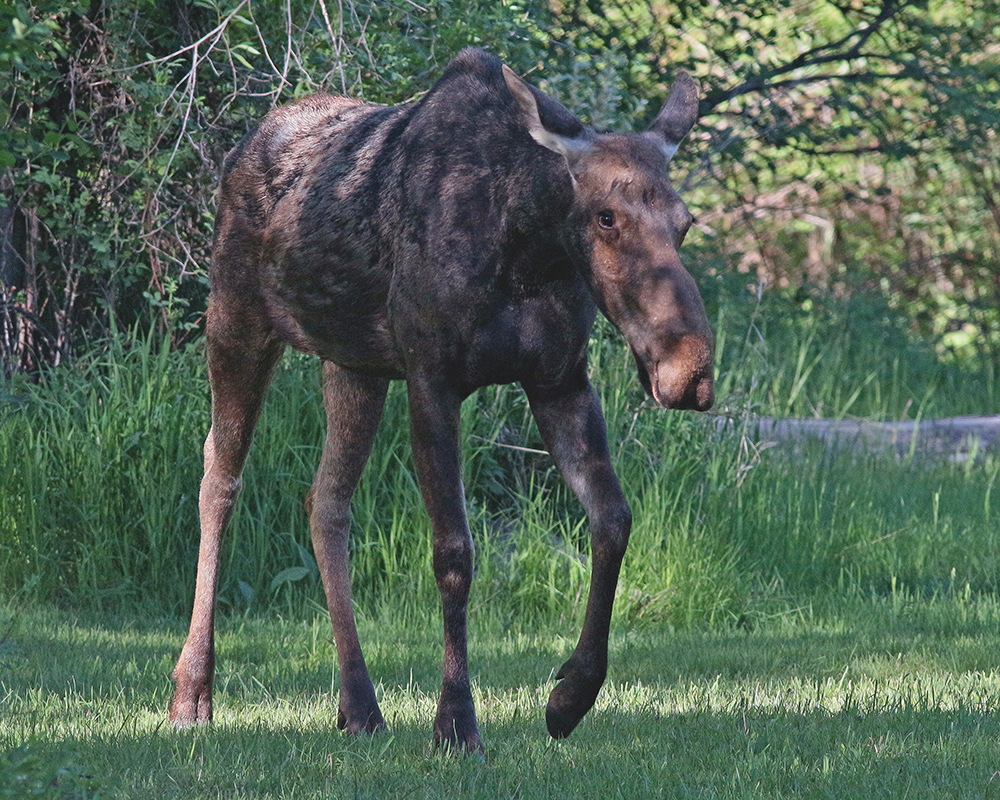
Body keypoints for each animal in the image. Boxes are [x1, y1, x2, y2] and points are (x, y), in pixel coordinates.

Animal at [174, 48, 720, 752]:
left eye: (685, 223)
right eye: (606, 215)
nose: (691, 371)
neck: (527, 251)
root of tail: (245, 143)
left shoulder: (559, 378)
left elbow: (613, 520)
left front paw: (570, 695)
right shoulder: (433, 378)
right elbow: (455, 552)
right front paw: (457, 722)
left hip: (354, 365)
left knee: (325, 501)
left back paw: (359, 706)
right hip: (236, 319)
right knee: (219, 478)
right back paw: (193, 691)